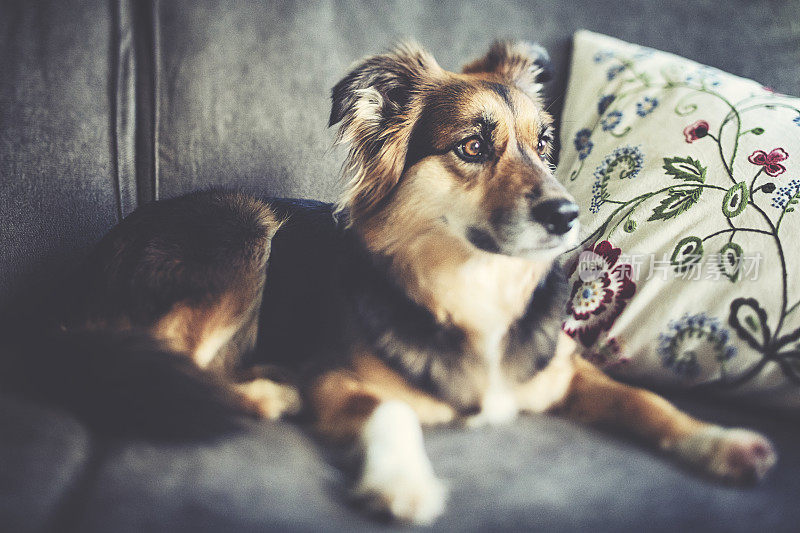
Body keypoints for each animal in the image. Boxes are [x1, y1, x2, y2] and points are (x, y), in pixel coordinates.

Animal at [0, 41, 776, 524]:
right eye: (473, 145)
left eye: (545, 144)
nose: (567, 216)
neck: (474, 287)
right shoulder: (337, 378)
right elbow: (390, 411)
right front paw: (405, 481)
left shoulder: (563, 372)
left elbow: (646, 401)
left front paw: (719, 442)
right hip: (242, 233)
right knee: (170, 363)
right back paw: (266, 392)